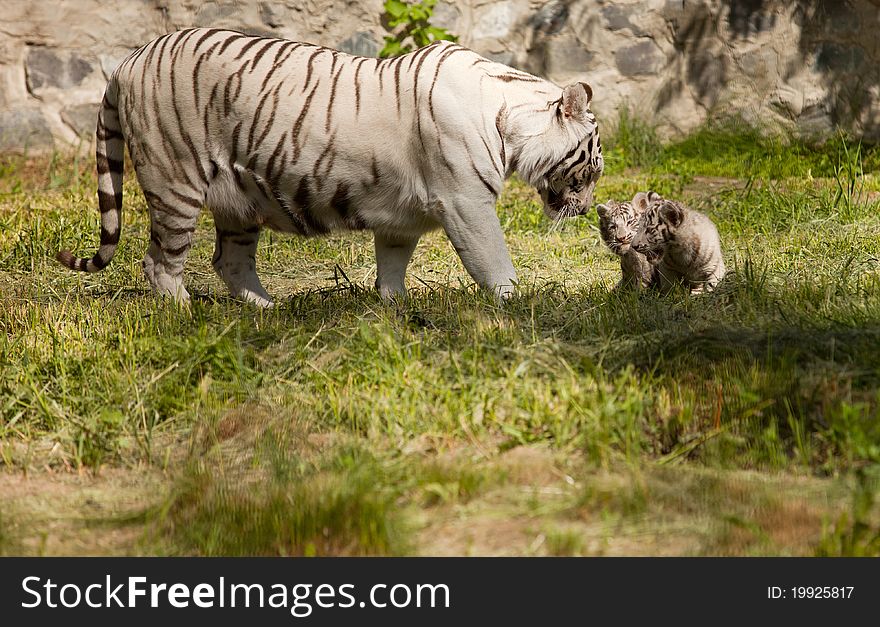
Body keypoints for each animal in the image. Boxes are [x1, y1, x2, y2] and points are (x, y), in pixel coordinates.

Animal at [56, 28, 604, 308]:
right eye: (593, 168)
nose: (588, 210)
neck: (509, 120)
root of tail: (129, 59)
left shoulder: (403, 219)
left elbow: (393, 265)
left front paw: (395, 309)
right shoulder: (466, 203)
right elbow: (493, 260)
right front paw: (517, 305)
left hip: (237, 199)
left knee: (229, 261)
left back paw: (270, 311)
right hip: (175, 183)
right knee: (159, 262)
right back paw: (185, 312)